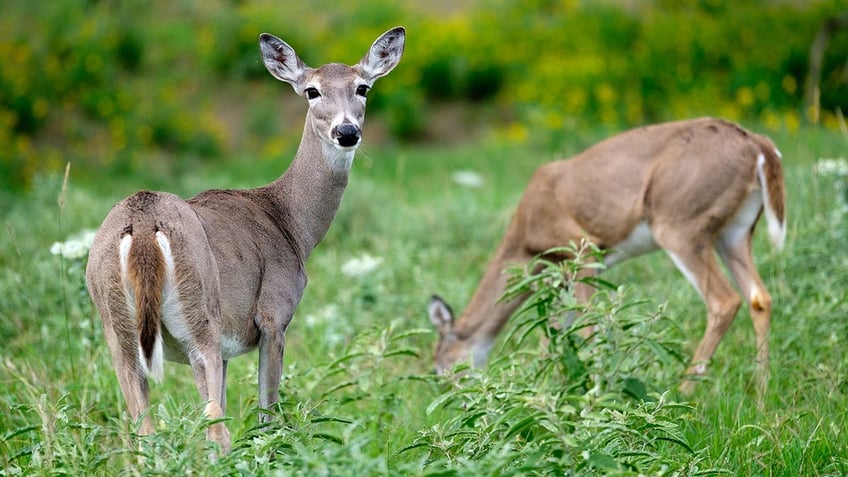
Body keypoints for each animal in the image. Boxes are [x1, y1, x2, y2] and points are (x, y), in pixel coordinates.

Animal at [86, 25, 404, 450]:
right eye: (312, 90)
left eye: (363, 87)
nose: (347, 131)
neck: (291, 224)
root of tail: (141, 226)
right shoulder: (273, 315)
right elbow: (267, 416)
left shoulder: (225, 349)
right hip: (198, 317)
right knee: (214, 428)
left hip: (118, 332)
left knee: (143, 431)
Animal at [430, 117, 788, 396]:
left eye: (438, 368)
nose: (454, 397)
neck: (523, 240)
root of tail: (759, 146)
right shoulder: (567, 273)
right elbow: (555, 333)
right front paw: (547, 388)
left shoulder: (583, 247)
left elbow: (587, 324)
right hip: (735, 232)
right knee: (760, 297)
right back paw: (761, 396)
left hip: (680, 223)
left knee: (724, 300)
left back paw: (683, 395)